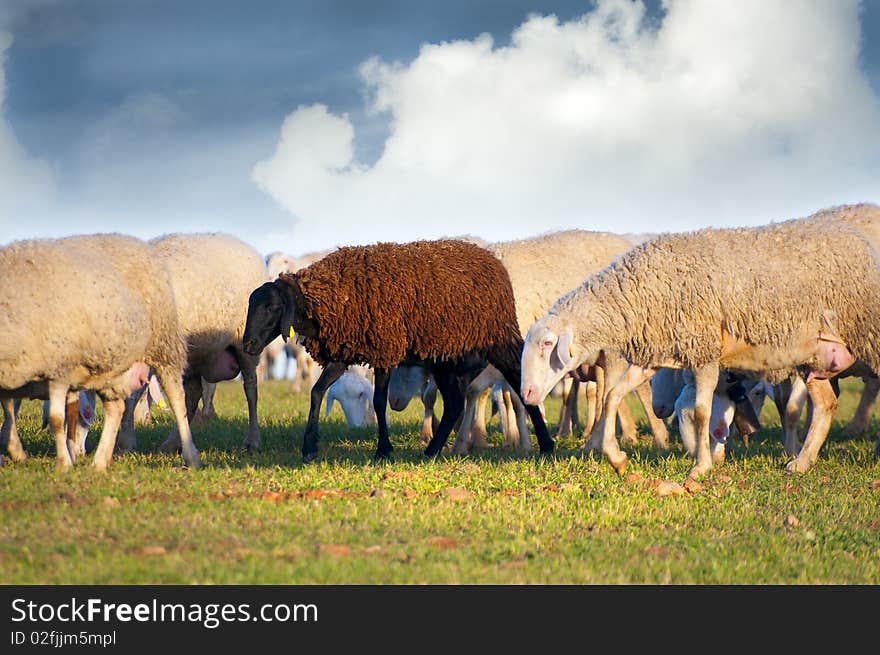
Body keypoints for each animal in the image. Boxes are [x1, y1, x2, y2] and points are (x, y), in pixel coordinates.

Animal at [0, 236, 200, 472]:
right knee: (116, 408)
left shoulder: (60, 367)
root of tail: (137, 243)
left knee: (177, 400)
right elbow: (9, 410)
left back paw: (191, 456)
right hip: (112, 366)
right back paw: (99, 462)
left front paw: (64, 464)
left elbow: (56, 418)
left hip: (163, 347)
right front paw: (17, 451)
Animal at [244, 240, 552, 462]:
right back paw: (431, 451)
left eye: (271, 307)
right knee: (454, 403)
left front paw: (383, 449)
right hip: (443, 357)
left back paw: (546, 445)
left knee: (517, 382)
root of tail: (494, 262)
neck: (331, 296)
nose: (247, 345)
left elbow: (379, 401)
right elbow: (317, 392)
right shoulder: (345, 352)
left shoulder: (384, 349)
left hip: (497, 341)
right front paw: (309, 447)